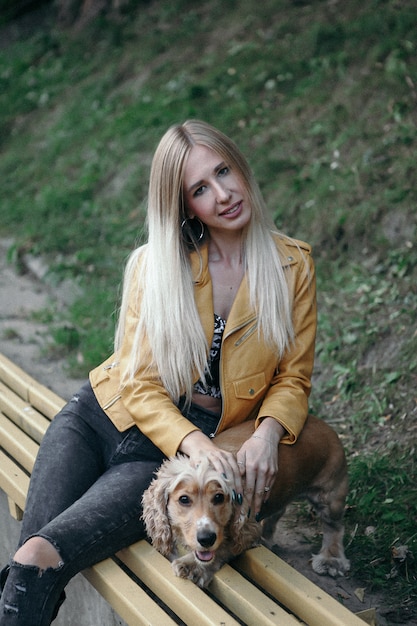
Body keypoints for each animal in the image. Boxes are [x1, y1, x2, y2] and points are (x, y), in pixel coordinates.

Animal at [141, 414, 350, 584]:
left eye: (219, 497)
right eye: (184, 499)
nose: (206, 538)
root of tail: (326, 426)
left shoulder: (245, 529)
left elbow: (225, 545)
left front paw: (193, 566)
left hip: (329, 496)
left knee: (335, 527)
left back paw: (331, 560)